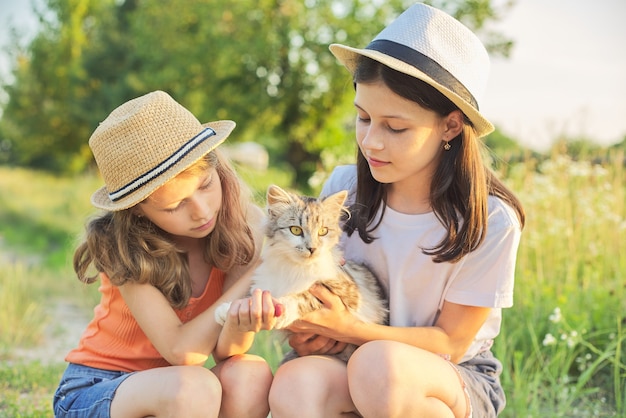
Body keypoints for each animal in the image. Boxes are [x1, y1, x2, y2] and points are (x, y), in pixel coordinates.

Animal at [217, 185, 388, 360]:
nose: (312, 248)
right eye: (295, 230)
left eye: (323, 231)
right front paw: (228, 309)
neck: (294, 268)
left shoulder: (346, 292)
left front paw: (282, 311)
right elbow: (252, 296)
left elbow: (302, 296)